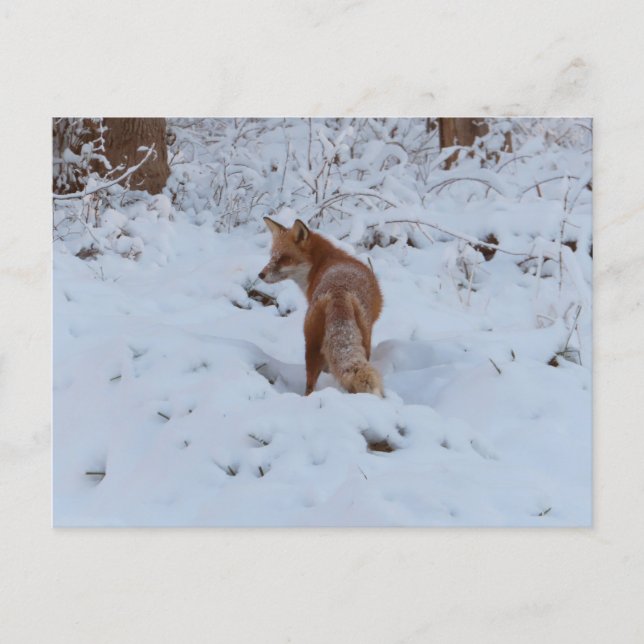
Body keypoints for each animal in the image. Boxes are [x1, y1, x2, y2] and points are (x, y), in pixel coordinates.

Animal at [259, 218, 384, 397]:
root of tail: (338, 292)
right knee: (311, 384)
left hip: (314, 344)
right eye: (272, 256)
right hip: (350, 342)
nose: (260, 275)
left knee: (311, 385)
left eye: (284, 258)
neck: (324, 263)